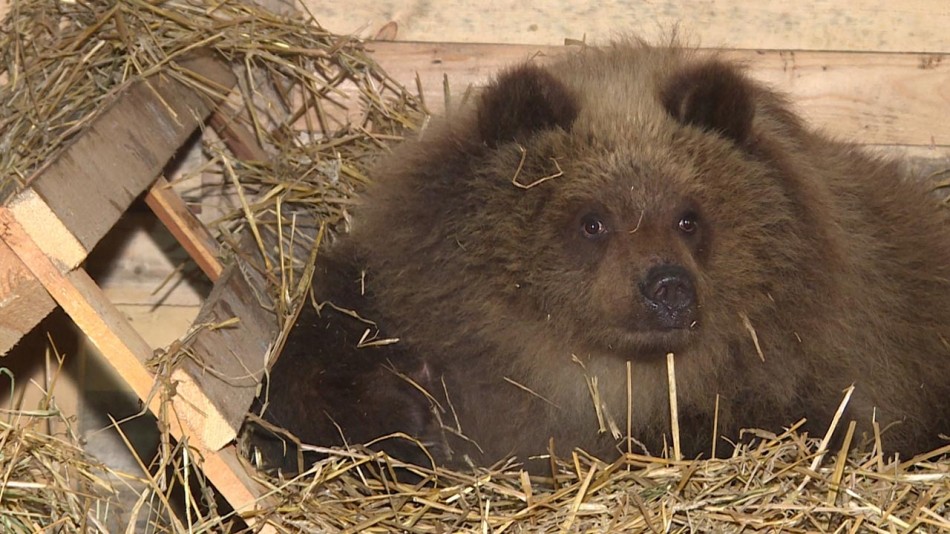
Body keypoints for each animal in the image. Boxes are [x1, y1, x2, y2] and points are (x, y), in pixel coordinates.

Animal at [249, 39, 950, 473]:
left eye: (689, 216)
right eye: (593, 220)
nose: (668, 288)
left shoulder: (826, 359)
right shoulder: (387, 294)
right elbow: (307, 377)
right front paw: (411, 415)